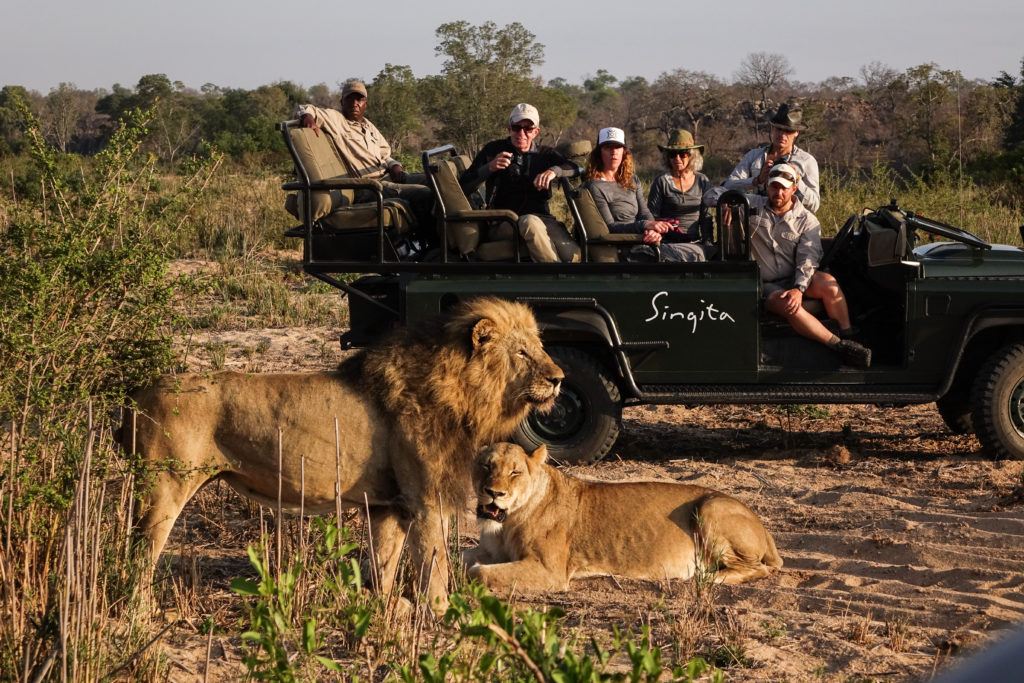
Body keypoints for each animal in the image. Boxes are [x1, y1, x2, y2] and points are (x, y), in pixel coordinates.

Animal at [125, 299, 569, 610]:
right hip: (164, 488)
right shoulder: (427, 501)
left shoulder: (390, 505)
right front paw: (442, 612)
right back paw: (140, 612)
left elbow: (385, 562)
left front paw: (386, 608)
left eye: (540, 347)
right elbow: (436, 564)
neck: (464, 393)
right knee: (141, 555)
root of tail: (139, 392)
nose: (559, 379)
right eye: (522, 353)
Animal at [466, 444, 782, 593]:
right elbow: (463, 556)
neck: (504, 524)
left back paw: (708, 576)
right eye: (486, 466)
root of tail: (762, 526)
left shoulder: (550, 571)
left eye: (515, 472)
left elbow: (480, 572)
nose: (493, 493)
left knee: (760, 568)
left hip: (710, 508)